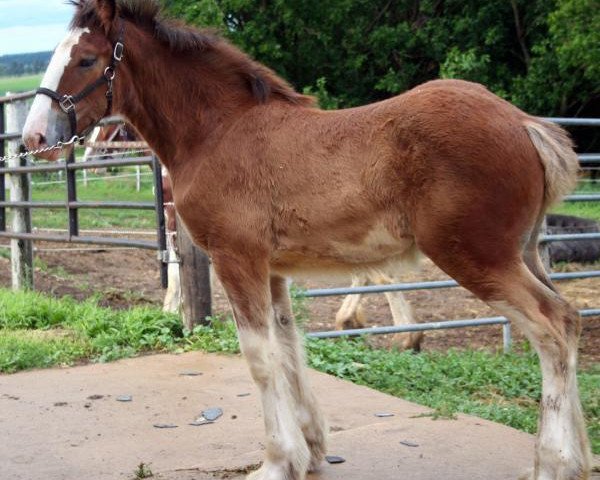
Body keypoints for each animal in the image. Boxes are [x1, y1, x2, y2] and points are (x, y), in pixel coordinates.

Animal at [22, 0, 592, 480]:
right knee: (571, 319)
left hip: (477, 256)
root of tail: (526, 124)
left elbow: (259, 358)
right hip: (523, 252)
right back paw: (580, 458)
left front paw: (277, 462)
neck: (216, 133)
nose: (33, 139)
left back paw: (553, 464)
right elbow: (289, 347)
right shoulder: (273, 269)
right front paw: (312, 449)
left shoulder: (236, 259)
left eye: (87, 59)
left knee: (552, 326)